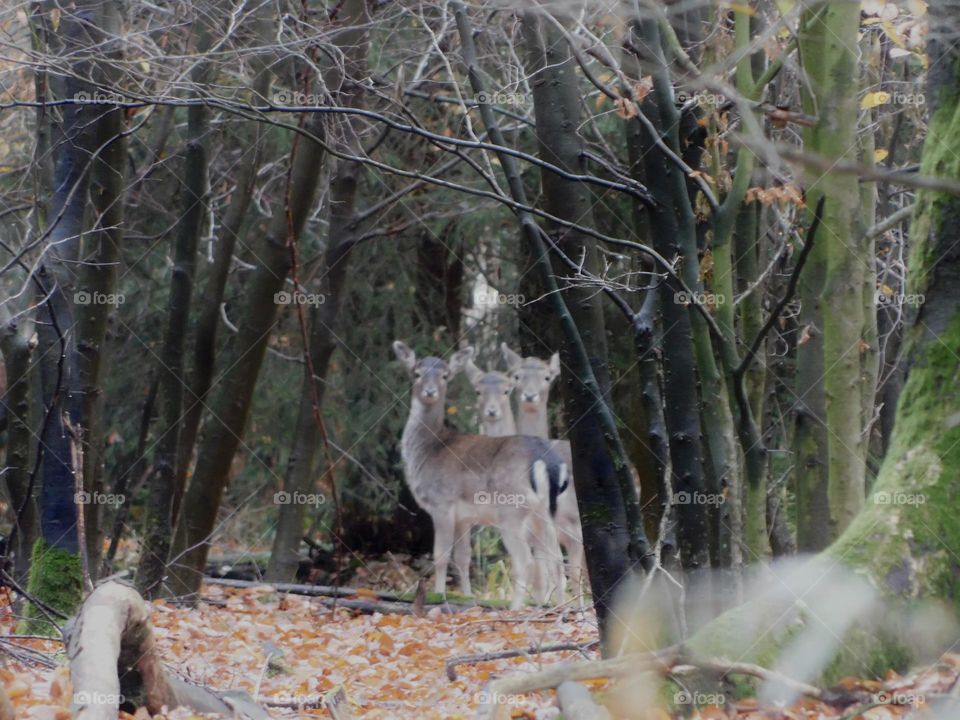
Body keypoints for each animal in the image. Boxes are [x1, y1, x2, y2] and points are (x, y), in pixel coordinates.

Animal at [393, 341, 567, 610]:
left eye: (445, 375)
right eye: (416, 373)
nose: (430, 392)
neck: (429, 450)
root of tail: (544, 458)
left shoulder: (442, 503)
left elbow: (441, 555)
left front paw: (439, 595)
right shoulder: (465, 518)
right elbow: (463, 557)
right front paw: (466, 597)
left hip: (512, 509)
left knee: (525, 559)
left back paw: (516, 607)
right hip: (545, 510)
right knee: (555, 557)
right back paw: (559, 606)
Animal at [501, 344, 588, 606]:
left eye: (548, 377)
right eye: (516, 376)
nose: (530, 396)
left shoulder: (574, 531)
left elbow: (567, 572)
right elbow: (544, 574)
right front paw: (547, 605)